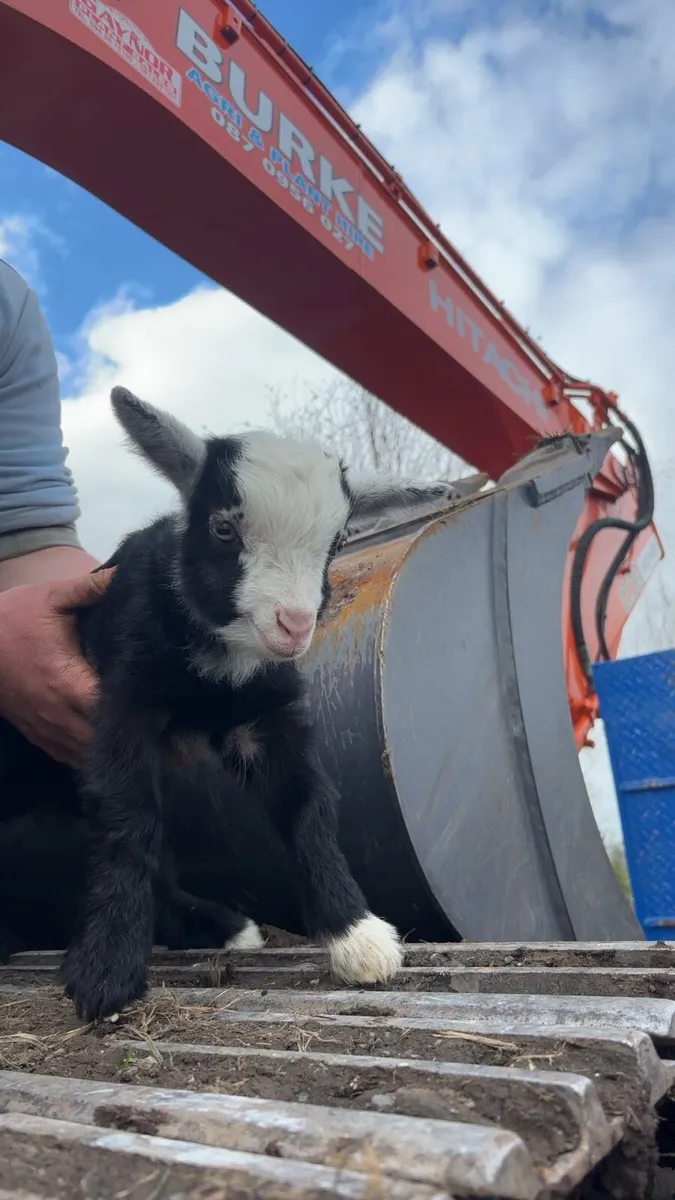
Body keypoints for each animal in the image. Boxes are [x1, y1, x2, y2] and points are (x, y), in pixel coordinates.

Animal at [5, 387, 457, 1022]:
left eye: (338, 543)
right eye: (223, 529)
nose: (293, 625)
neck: (219, 671)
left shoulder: (265, 720)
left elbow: (308, 808)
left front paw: (356, 935)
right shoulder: (123, 708)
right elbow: (128, 820)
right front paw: (107, 967)